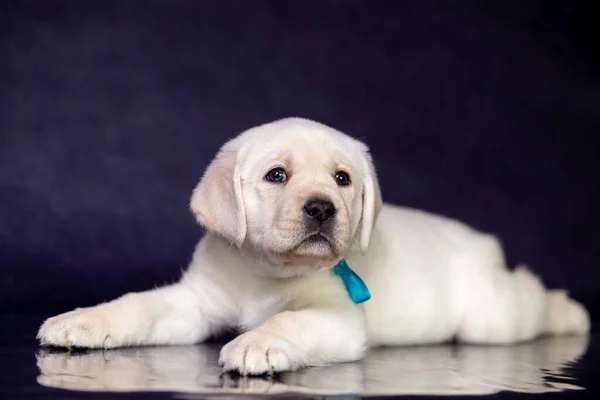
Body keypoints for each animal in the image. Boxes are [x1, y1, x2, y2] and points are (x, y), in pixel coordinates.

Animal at [37, 116, 592, 376]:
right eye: (276, 175)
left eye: (342, 179)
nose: (323, 208)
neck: (265, 273)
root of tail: (483, 242)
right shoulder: (194, 303)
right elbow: (139, 306)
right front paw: (83, 321)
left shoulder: (338, 318)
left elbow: (288, 321)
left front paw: (256, 342)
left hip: (489, 318)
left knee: (529, 297)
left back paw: (570, 311)